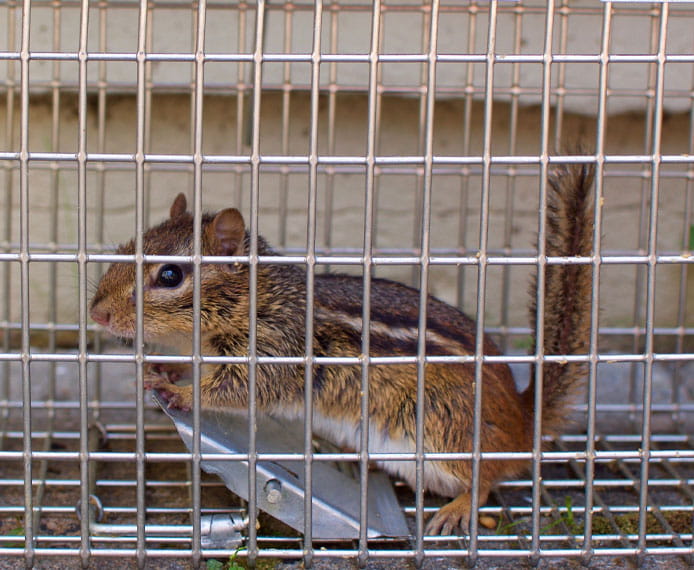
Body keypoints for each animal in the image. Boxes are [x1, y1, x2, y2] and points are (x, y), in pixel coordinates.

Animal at [90, 162, 595, 536]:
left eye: (169, 275)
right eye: (130, 244)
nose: (97, 314)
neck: (259, 300)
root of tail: (524, 421)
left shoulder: (275, 351)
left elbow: (238, 390)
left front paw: (181, 392)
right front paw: (161, 368)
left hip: (443, 433)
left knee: (485, 480)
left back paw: (458, 507)